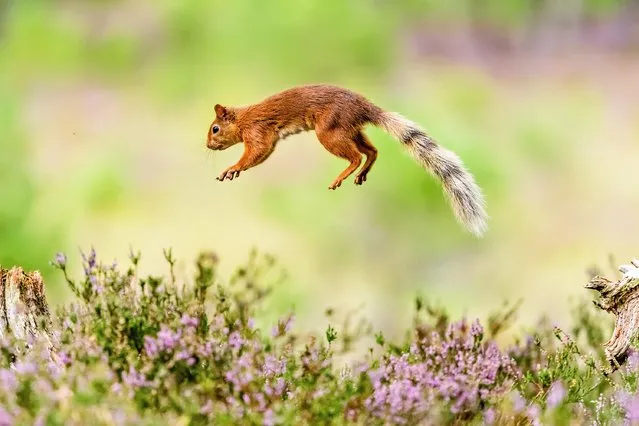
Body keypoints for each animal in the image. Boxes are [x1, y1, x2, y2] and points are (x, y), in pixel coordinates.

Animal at [208, 84, 488, 236]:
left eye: (215, 129)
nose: (207, 145)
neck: (243, 119)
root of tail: (365, 107)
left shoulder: (258, 133)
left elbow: (255, 153)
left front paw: (232, 168)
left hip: (329, 131)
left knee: (355, 156)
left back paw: (341, 177)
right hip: (350, 130)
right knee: (372, 151)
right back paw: (362, 173)